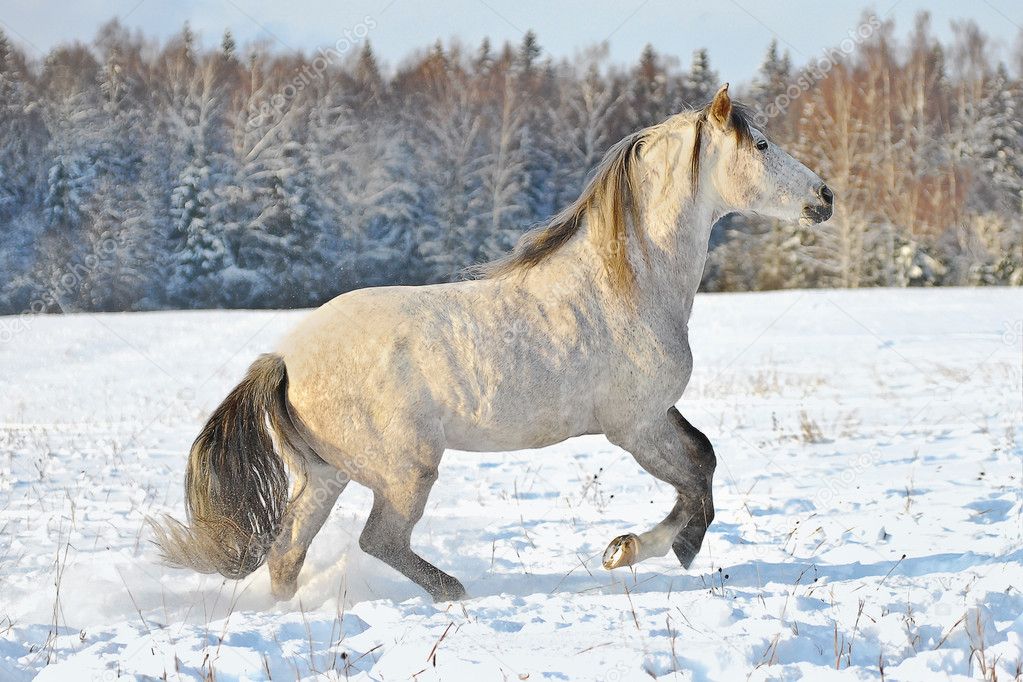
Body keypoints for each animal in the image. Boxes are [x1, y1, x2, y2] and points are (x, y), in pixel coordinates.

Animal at [153, 84, 834, 602]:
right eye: (762, 144)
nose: (824, 197)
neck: (629, 281)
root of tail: (283, 359)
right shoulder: (633, 425)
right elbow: (694, 478)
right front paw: (639, 550)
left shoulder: (655, 415)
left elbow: (705, 460)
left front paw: (639, 548)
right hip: (404, 471)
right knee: (379, 540)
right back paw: (453, 591)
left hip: (325, 474)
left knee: (289, 547)